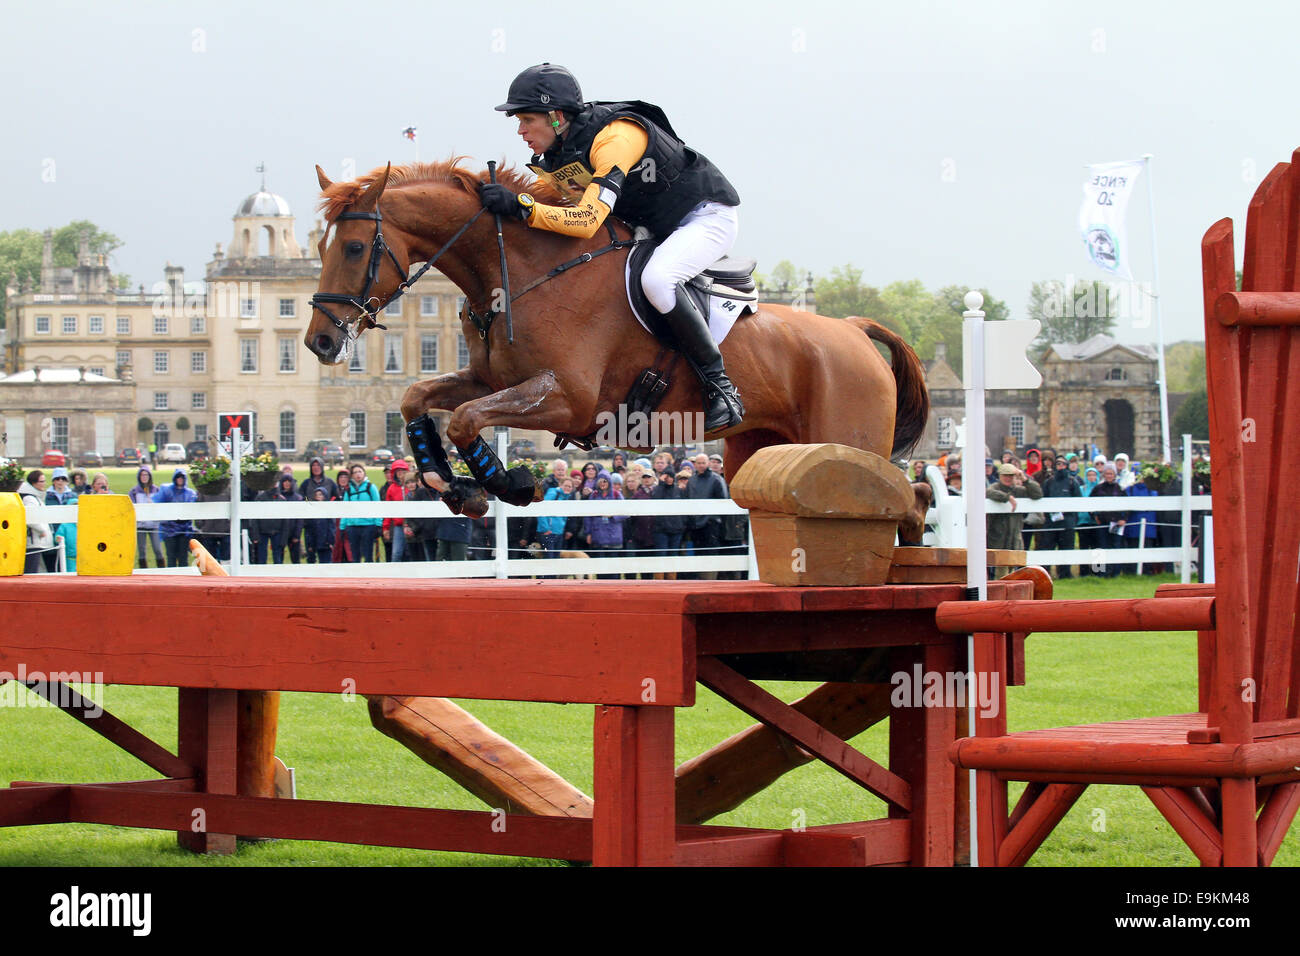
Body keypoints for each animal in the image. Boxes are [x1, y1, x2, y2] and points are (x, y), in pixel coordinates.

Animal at [306, 159, 925, 528]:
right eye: (321, 248)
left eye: (356, 248)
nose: (319, 342)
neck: (519, 271)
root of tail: (853, 329)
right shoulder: (493, 380)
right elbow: (420, 398)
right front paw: (454, 487)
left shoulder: (570, 399)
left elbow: (464, 417)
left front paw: (510, 482)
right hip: (760, 448)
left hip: (850, 444)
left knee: (902, 508)